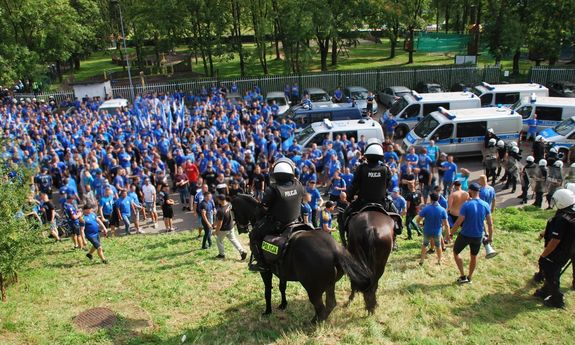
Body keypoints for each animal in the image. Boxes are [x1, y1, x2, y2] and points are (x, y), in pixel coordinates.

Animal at [232, 194, 372, 322]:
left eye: (233, 210)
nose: (240, 229)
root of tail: (335, 250)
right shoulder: (282, 272)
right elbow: (282, 287)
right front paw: (283, 304)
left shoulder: (265, 271)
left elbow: (267, 291)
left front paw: (268, 311)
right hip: (328, 285)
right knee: (330, 304)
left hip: (312, 288)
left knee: (320, 306)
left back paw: (315, 321)